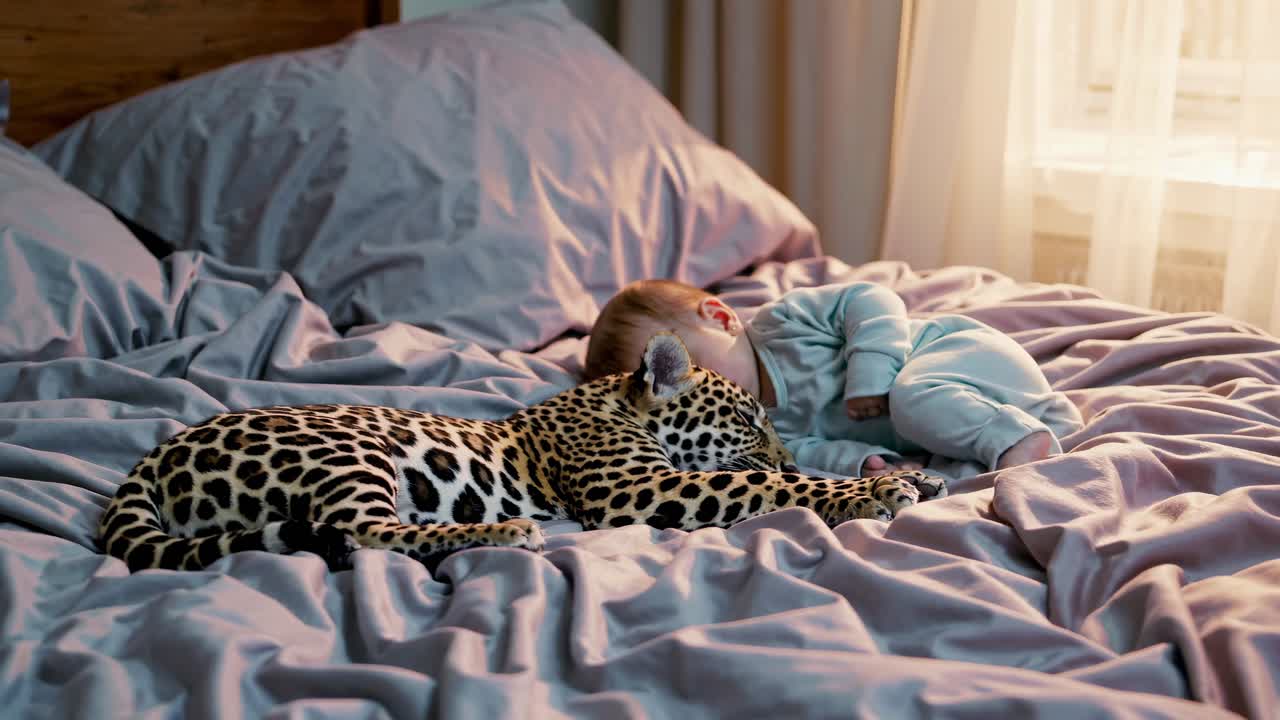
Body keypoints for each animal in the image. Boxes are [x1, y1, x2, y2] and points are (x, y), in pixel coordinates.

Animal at [99, 332, 947, 572]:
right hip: (348, 451)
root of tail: (157, 454)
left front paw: (915, 477)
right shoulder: (633, 491)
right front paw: (868, 493)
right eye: (745, 419)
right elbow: (763, 492)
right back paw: (506, 533)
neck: (610, 400)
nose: (777, 451)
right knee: (362, 534)